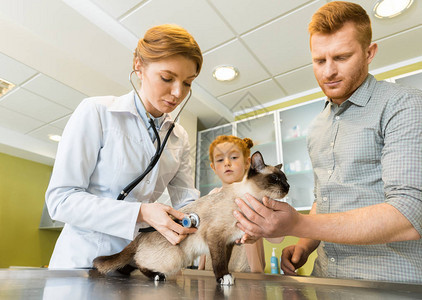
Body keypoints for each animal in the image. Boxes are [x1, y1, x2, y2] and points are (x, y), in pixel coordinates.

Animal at [92, 151, 290, 284]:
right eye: (275, 178)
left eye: (286, 179)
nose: (288, 187)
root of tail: (139, 235)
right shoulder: (216, 237)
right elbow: (219, 262)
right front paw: (223, 278)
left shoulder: (228, 242)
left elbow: (225, 260)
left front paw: (227, 276)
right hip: (176, 258)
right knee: (140, 263)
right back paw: (157, 276)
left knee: (128, 264)